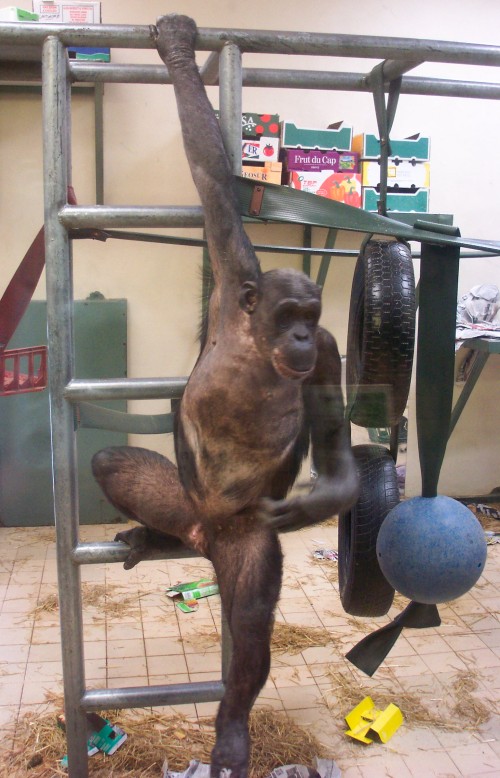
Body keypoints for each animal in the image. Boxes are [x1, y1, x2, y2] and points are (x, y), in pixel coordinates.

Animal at [92, 13, 358, 776]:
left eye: (311, 315)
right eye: (288, 311)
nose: (299, 335)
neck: (258, 345)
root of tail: (203, 535)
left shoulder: (330, 353)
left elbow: (333, 438)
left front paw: (314, 503)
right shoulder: (229, 266)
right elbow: (213, 180)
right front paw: (179, 50)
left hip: (244, 545)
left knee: (248, 623)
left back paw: (232, 730)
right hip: (180, 502)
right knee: (114, 465)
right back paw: (147, 532)